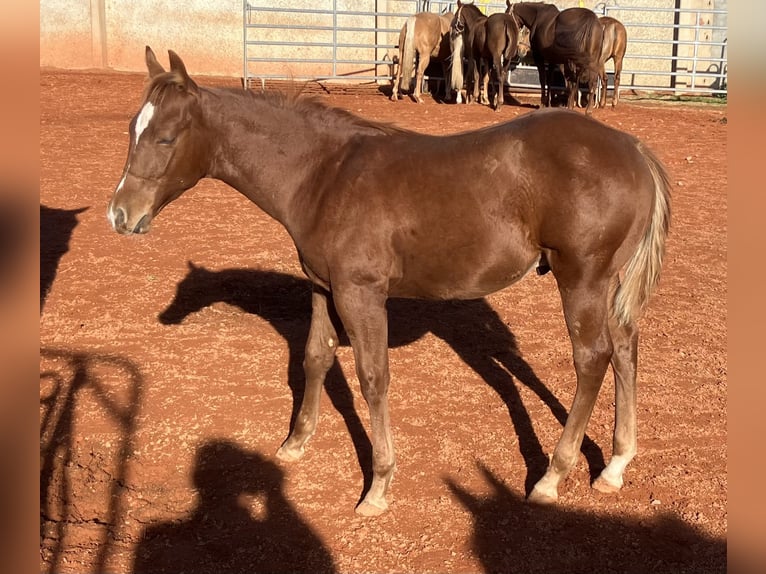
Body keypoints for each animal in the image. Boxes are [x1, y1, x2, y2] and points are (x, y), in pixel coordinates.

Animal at [108, 47, 671, 516]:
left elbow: (372, 378)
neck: (324, 174)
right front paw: (295, 443)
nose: (120, 214)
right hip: (609, 283)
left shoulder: (361, 294)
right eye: (131, 131)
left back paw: (551, 477)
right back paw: (615, 466)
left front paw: (377, 487)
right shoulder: (323, 286)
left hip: (582, 278)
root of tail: (633, 148)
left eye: (165, 137)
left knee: (592, 359)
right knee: (625, 348)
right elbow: (315, 357)